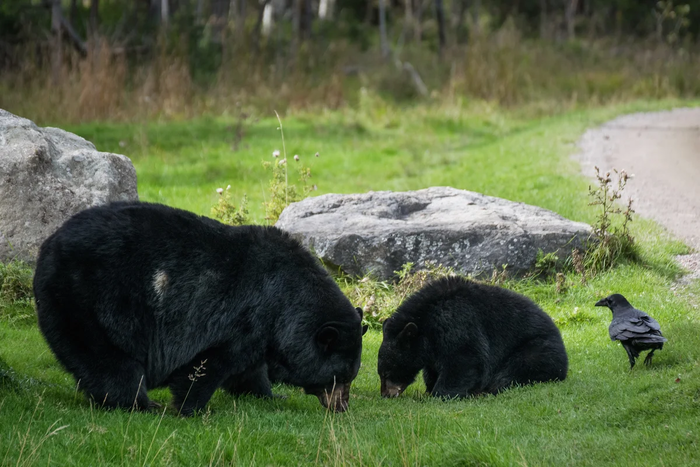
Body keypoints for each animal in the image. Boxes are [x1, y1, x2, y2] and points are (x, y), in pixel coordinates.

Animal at [34, 201, 366, 414]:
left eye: (349, 377)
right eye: (341, 377)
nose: (342, 406)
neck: (286, 301)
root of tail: (48, 245)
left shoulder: (262, 330)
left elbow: (250, 369)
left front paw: (272, 395)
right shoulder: (243, 316)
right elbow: (209, 363)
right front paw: (192, 407)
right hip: (90, 301)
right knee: (111, 363)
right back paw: (142, 404)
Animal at [378, 276, 568, 400]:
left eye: (386, 372)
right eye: (381, 373)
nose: (385, 394)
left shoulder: (456, 322)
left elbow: (464, 360)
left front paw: (440, 394)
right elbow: (432, 369)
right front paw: (430, 387)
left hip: (538, 348)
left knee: (514, 369)